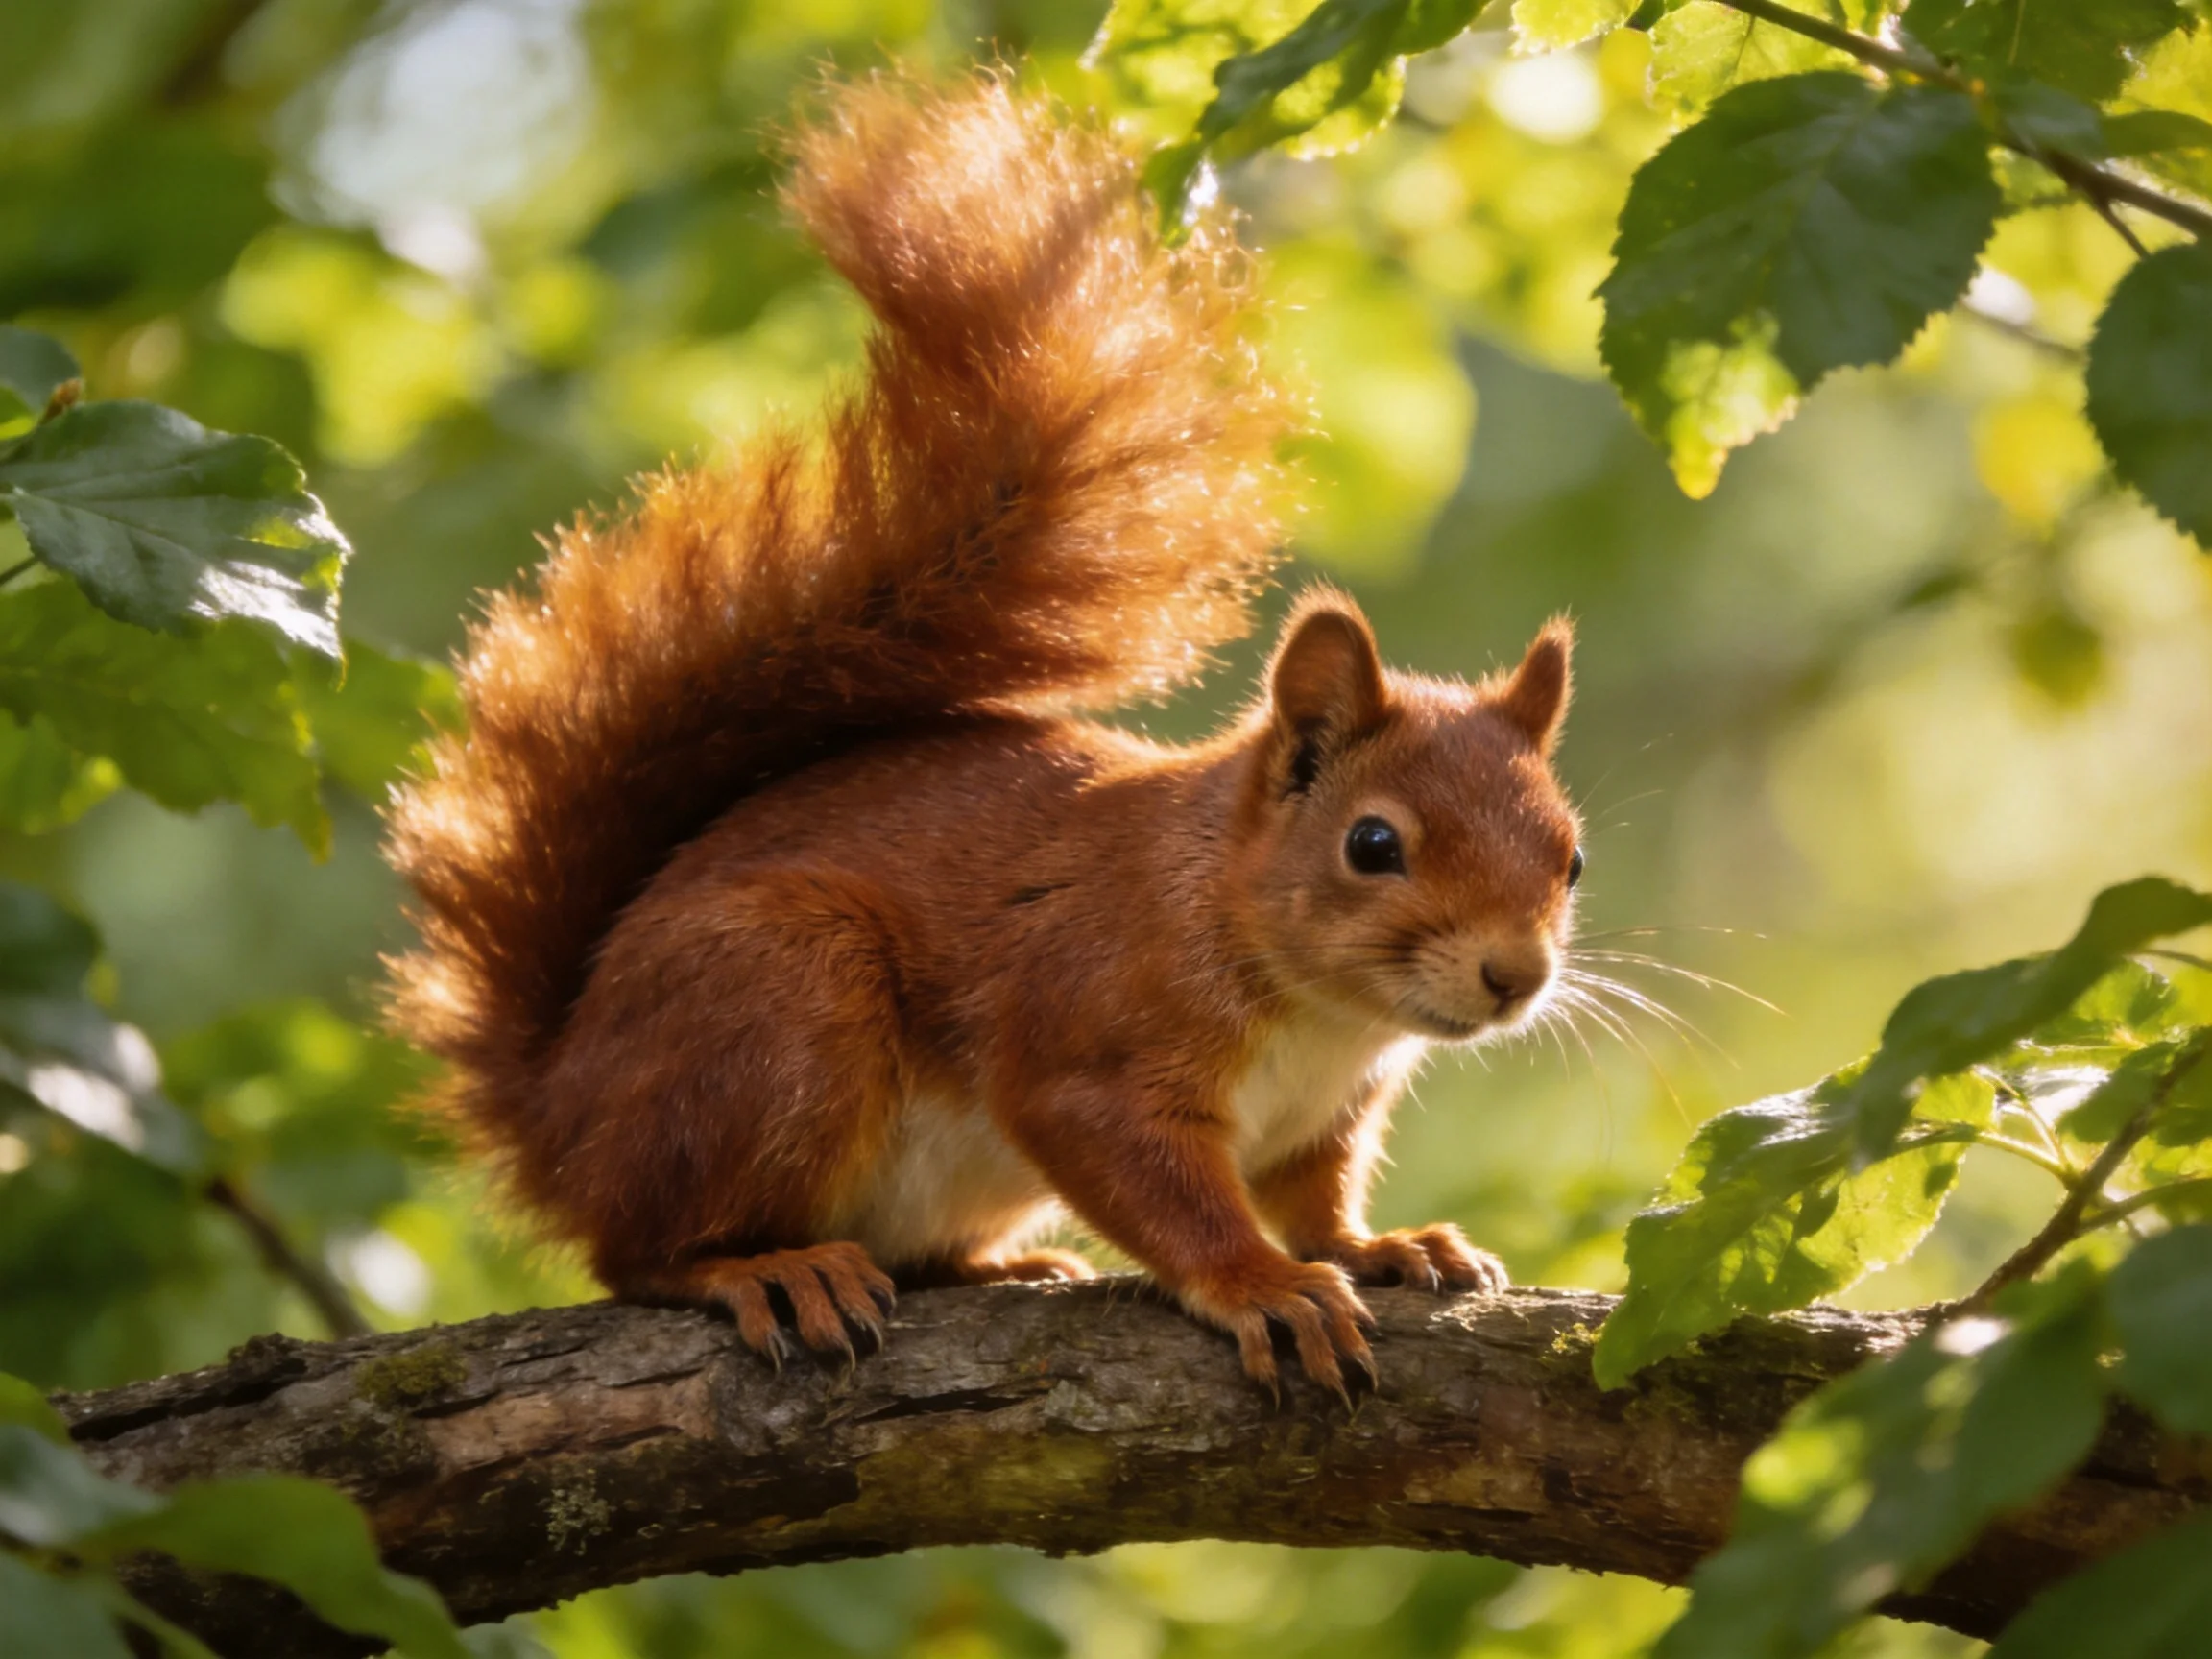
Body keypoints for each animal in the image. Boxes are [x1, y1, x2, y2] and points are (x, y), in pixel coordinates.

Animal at [384, 75, 1582, 1398]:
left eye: (1572, 858)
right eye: (1373, 846)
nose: (1516, 976)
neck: (1316, 1005)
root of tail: (557, 1115)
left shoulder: (1324, 1117)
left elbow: (1313, 1198)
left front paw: (1381, 1246)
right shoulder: (1088, 1043)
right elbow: (1161, 1188)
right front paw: (1265, 1286)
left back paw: (993, 1266)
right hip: (779, 1006)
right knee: (637, 1249)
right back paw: (765, 1269)